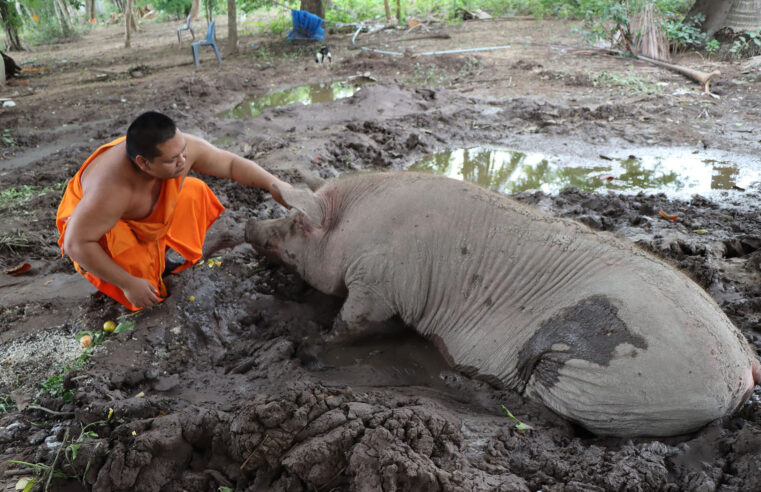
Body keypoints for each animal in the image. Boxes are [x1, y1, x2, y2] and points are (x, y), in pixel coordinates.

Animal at [233, 171, 760, 436]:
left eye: (294, 225)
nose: (249, 225)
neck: (350, 225)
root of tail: (744, 366)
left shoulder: (378, 284)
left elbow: (352, 323)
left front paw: (313, 342)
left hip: (611, 376)